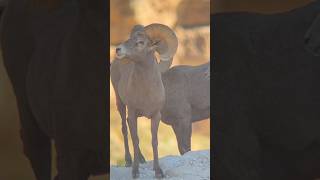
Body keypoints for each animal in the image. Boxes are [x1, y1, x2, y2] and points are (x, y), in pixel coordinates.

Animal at [109, 23, 176, 178]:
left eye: (140, 42)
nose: (118, 49)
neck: (146, 93)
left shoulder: (156, 116)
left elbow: (154, 141)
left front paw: (158, 172)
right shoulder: (133, 113)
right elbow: (135, 139)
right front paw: (135, 171)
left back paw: (141, 159)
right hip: (120, 104)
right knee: (124, 128)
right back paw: (129, 161)